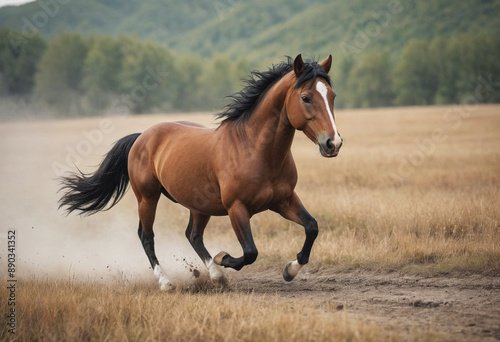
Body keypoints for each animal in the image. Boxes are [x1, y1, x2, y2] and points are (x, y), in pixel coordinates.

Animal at [56, 54, 342, 290]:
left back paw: (215, 276)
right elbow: (250, 252)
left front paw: (289, 271)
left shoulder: (283, 200)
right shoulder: (237, 208)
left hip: (199, 206)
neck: (254, 149)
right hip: (147, 198)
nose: (333, 143)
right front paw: (224, 258)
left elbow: (312, 227)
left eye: (332, 96)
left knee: (192, 235)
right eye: (306, 98)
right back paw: (168, 282)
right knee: (147, 236)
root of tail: (142, 136)